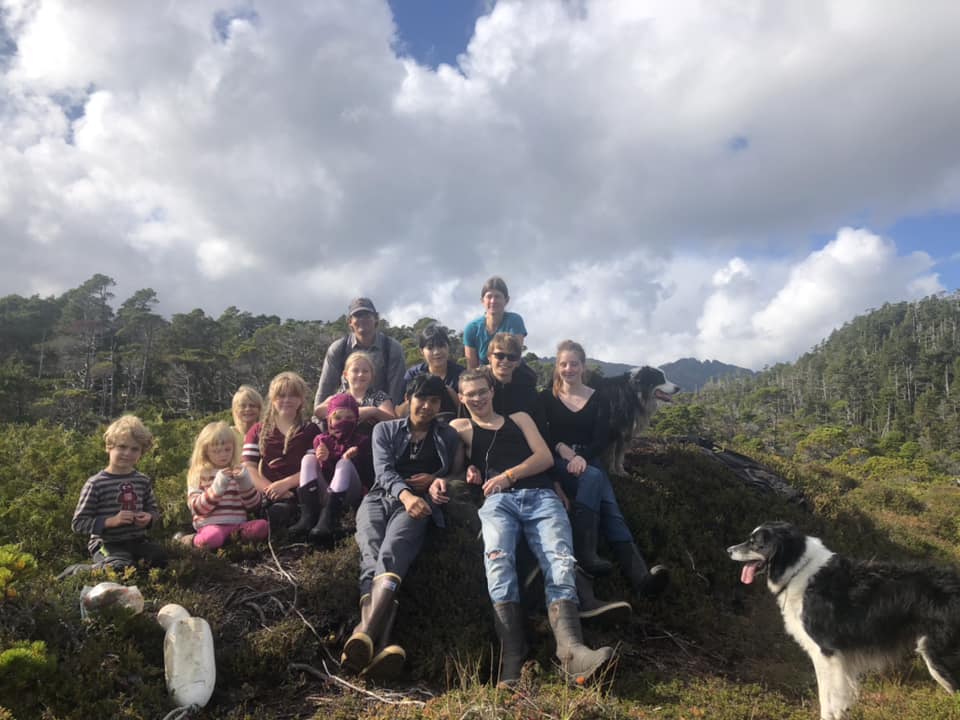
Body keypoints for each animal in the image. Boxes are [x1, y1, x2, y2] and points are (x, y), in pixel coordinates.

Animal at [727, 522, 960, 719]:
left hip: (939, 657)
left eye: (754, 542)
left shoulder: (826, 653)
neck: (798, 570)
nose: (728, 550)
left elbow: (827, 699)